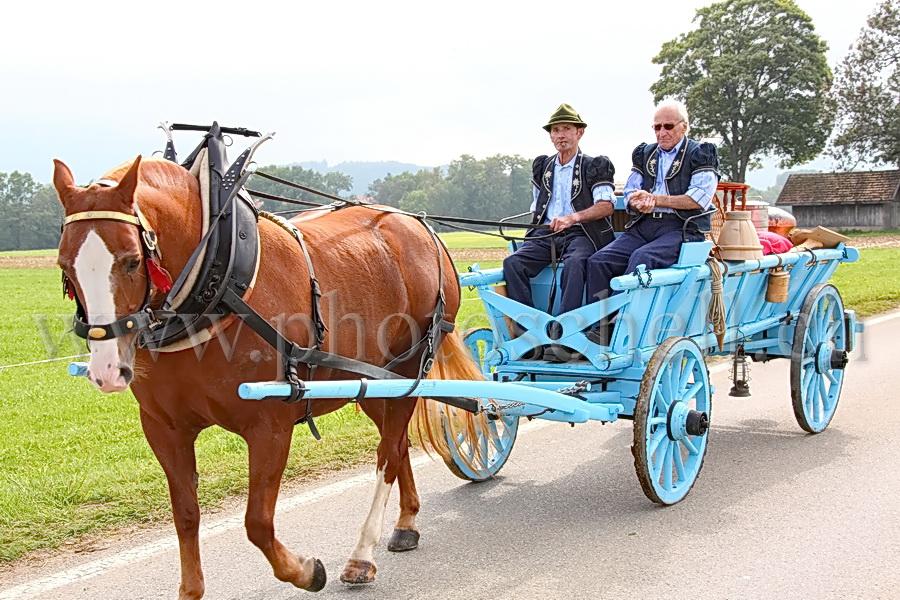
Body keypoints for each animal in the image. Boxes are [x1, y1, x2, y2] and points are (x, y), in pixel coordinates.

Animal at [52, 157, 482, 596]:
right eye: (65, 266)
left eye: (132, 260)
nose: (107, 370)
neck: (214, 287)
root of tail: (419, 225)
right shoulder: (163, 428)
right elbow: (185, 515)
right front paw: (191, 589)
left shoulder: (269, 424)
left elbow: (257, 522)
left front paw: (306, 571)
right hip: (372, 380)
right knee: (396, 445)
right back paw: (406, 522)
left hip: (408, 371)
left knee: (388, 455)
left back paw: (362, 555)